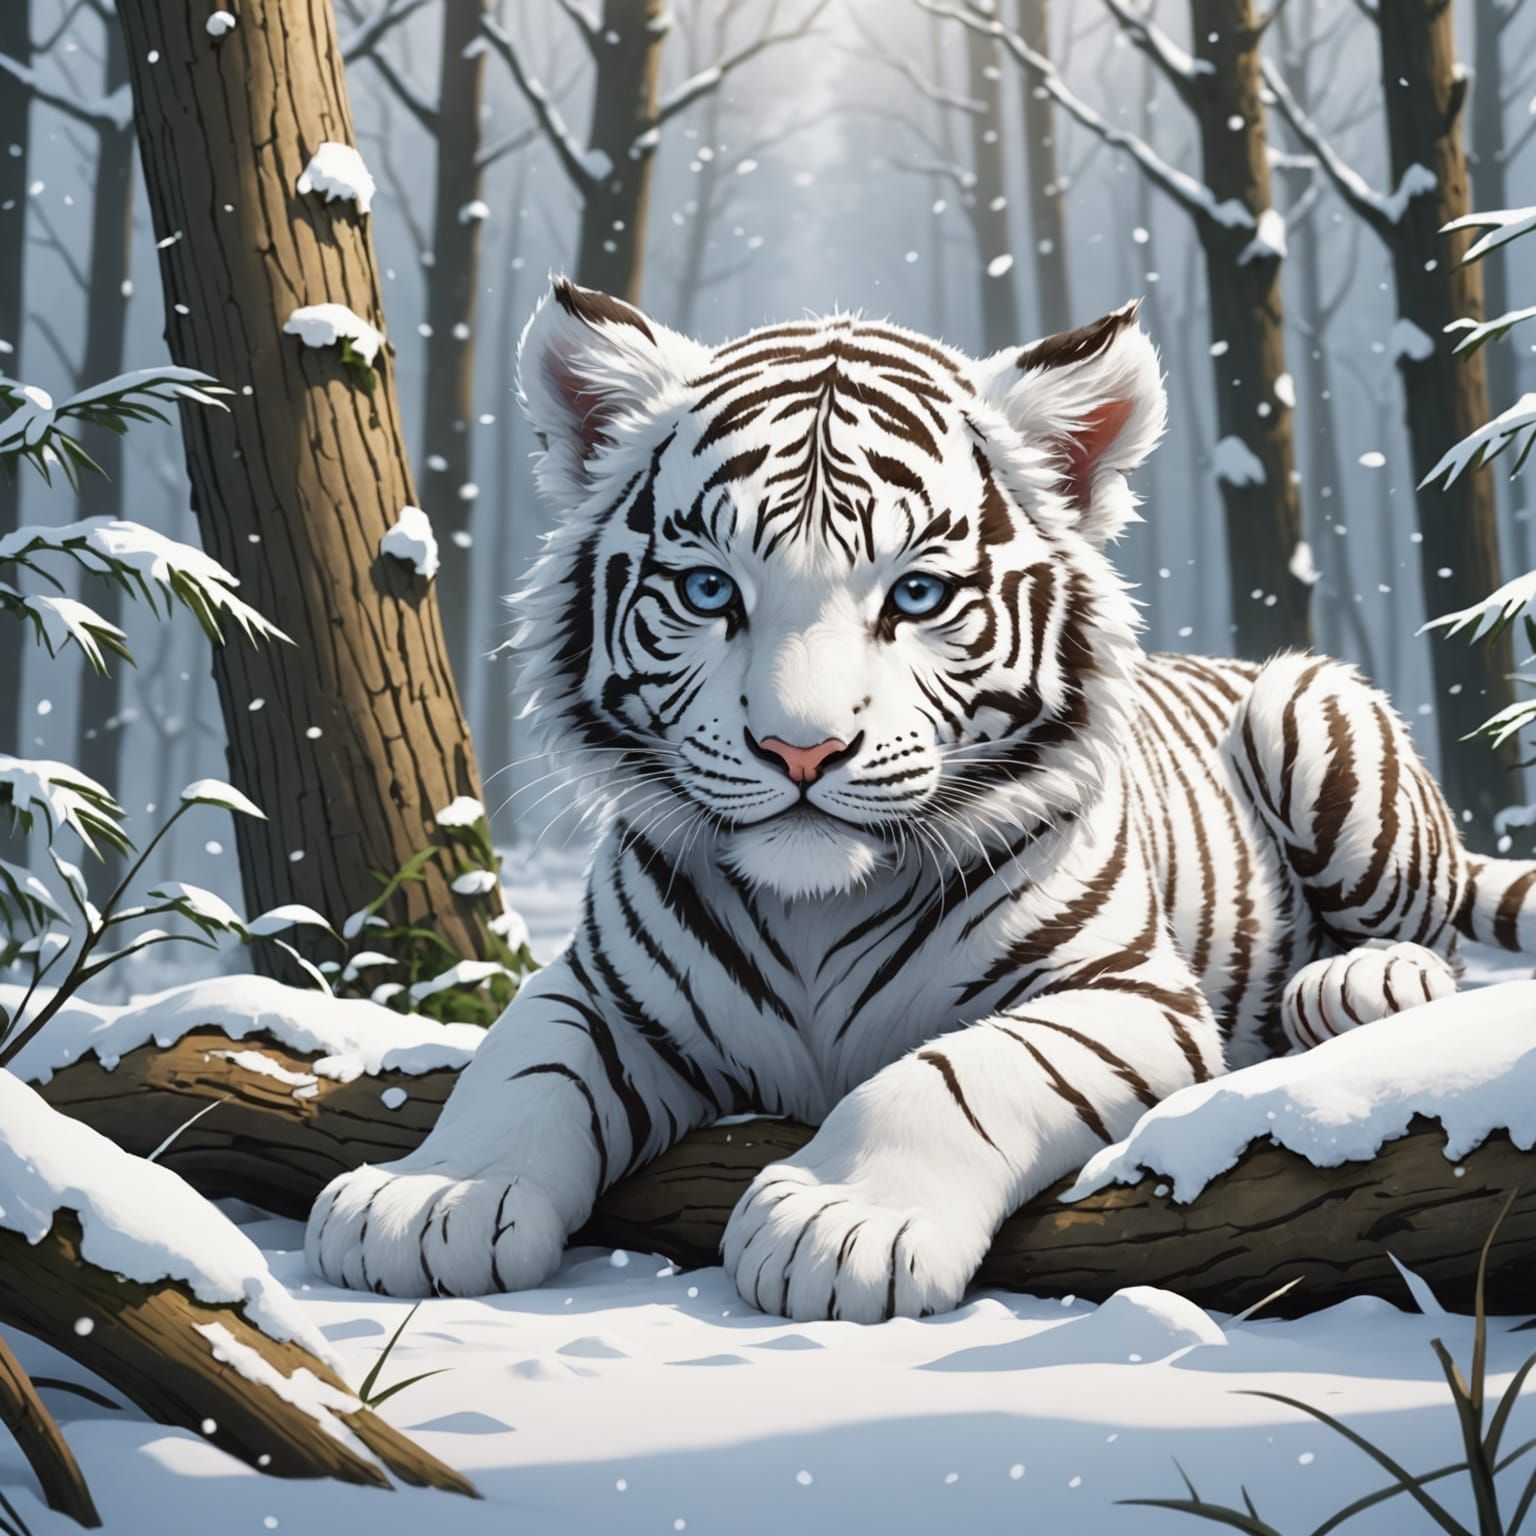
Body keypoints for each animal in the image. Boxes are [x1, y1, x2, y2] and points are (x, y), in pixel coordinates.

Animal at [305, 278, 1534, 1322]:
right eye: (708, 590)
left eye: (919, 595)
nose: (800, 749)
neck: (813, 909)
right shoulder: (609, 993)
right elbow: (522, 1064)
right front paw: (427, 1202)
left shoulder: (1120, 992)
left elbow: (955, 1073)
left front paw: (837, 1225)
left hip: (1305, 707)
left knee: (1428, 932)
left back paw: (1359, 982)